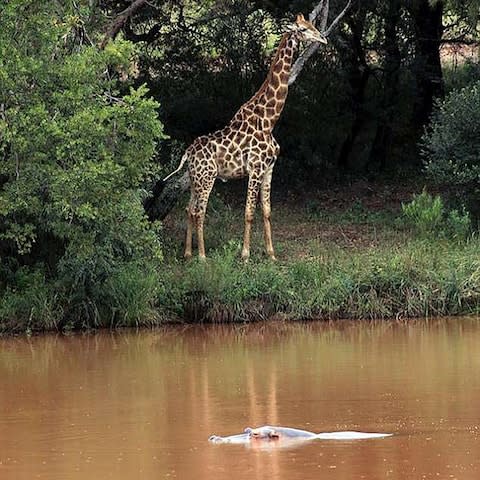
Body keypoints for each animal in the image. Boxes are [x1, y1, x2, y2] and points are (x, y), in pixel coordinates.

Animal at [164, 14, 326, 262]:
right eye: (302, 29)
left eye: (312, 25)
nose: (323, 38)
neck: (268, 121)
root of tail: (187, 153)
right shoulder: (255, 169)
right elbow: (249, 212)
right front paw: (245, 255)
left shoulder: (269, 168)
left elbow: (267, 211)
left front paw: (271, 254)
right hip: (207, 177)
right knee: (200, 211)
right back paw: (202, 256)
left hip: (194, 178)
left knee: (189, 209)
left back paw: (188, 253)